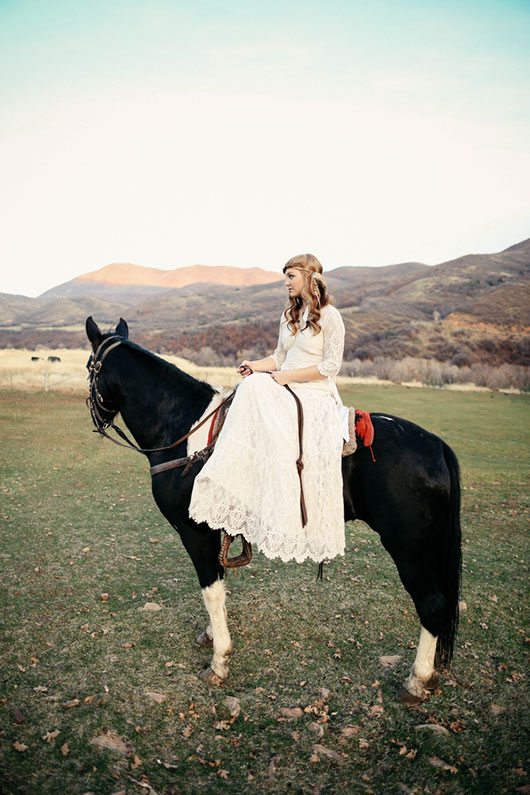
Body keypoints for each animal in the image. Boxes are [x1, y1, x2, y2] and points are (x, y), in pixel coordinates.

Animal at [85, 318, 458, 704]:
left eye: (89, 368)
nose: (95, 419)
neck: (185, 430)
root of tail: (435, 445)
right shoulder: (216, 527)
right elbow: (219, 584)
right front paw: (212, 633)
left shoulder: (195, 532)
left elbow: (211, 588)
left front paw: (219, 661)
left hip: (410, 549)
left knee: (432, 604)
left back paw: (417, 680)